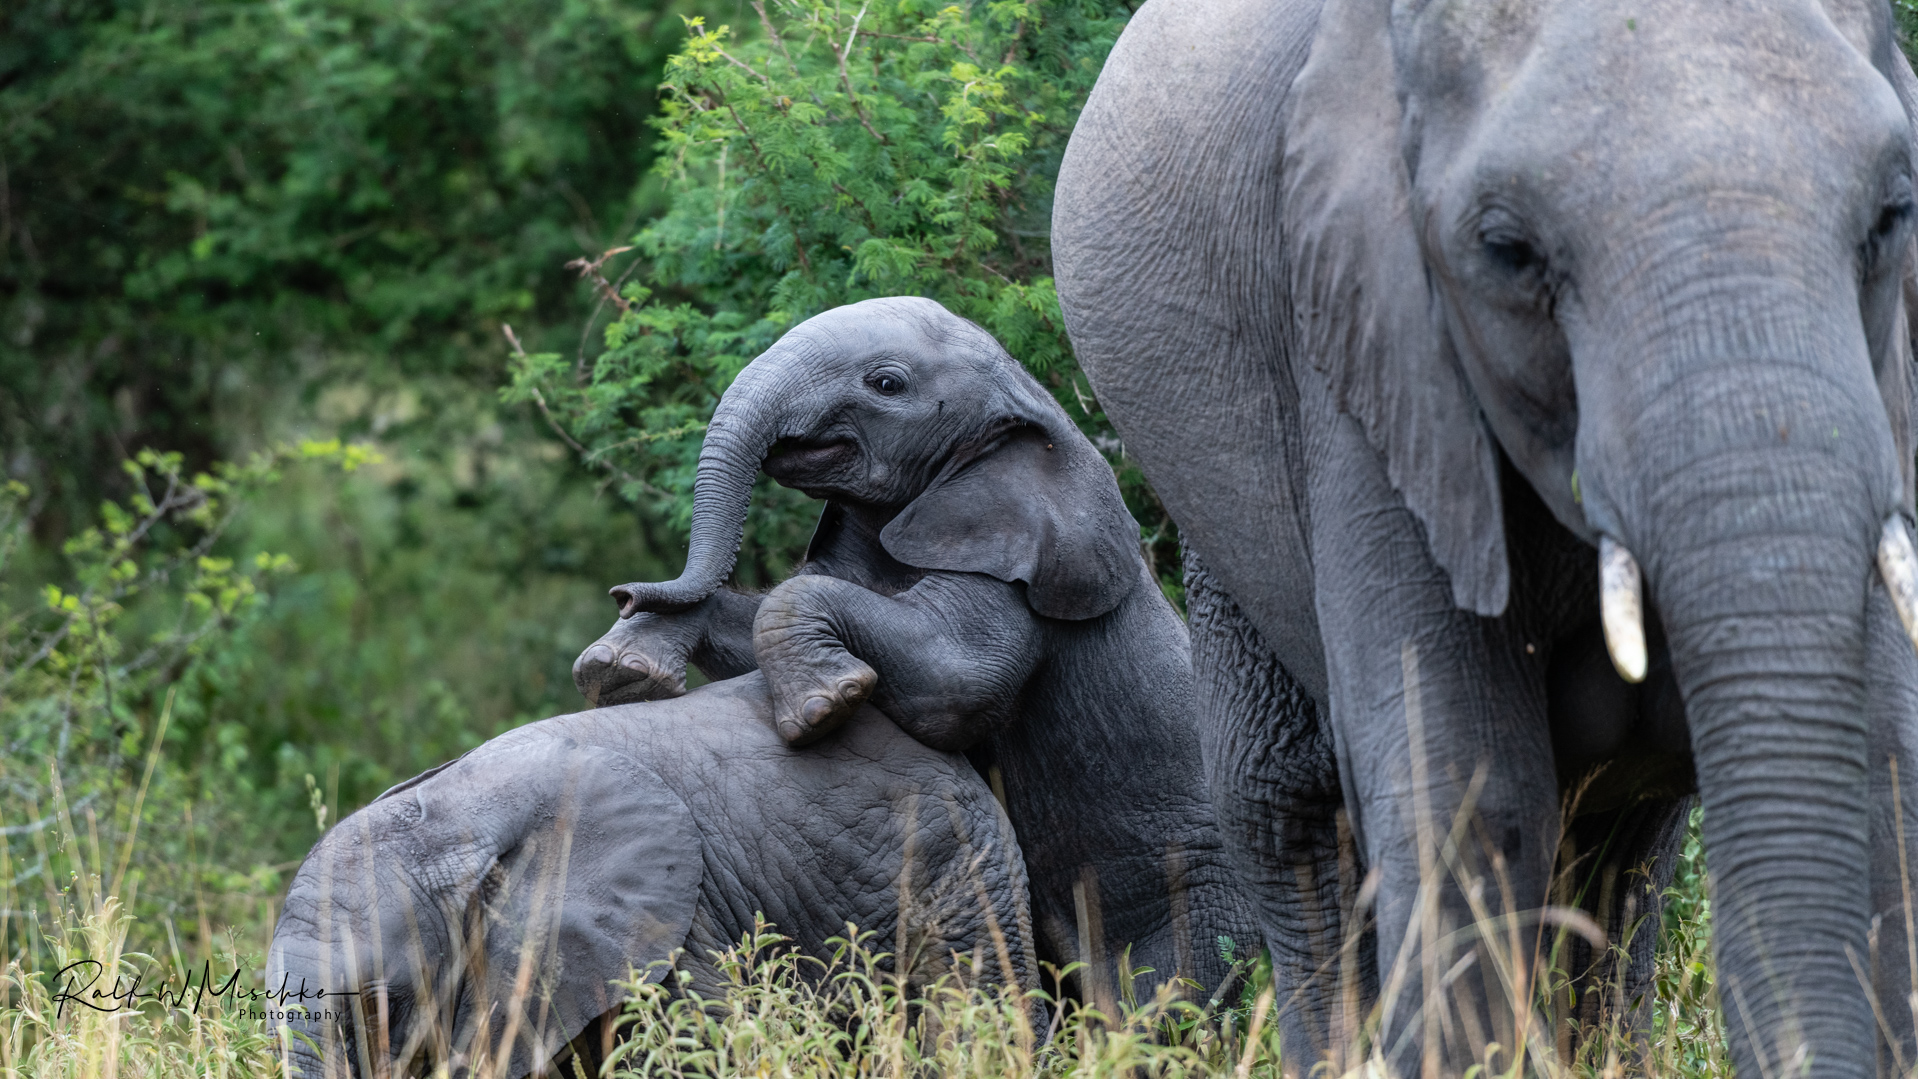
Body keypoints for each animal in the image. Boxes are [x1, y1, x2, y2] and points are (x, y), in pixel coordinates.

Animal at [575, 293, 1258, 1004]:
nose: (622, 592)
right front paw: (618, 672)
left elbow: (954, 682)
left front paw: (827, 708)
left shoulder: (1005, 550)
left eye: (886, 384)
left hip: (1203, 890)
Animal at [1058, 2, 1918, 1079]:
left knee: (1625, 839)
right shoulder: (1359, 345)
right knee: (1288, 806)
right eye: (1507, 251)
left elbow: (1879, 753)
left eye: (1892, 217)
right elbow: (1472, 782)